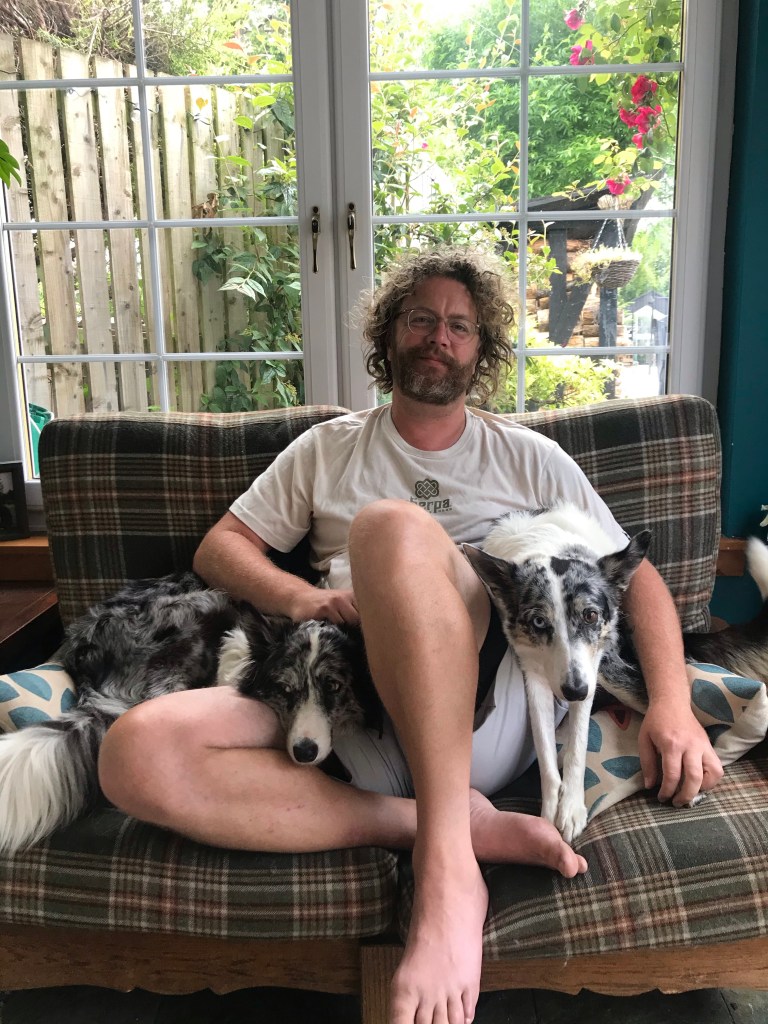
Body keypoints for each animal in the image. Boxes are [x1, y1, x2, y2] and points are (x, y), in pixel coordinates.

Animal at [464, 503, 768, 843]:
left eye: (590, 615)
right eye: (539, 622)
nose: (574, 692)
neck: (547, 545)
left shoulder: (592, 664)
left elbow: (578, 744)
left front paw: (571, 808)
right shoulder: (533, 669)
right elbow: (544, 749)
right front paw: (549, 813)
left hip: (613, 671)